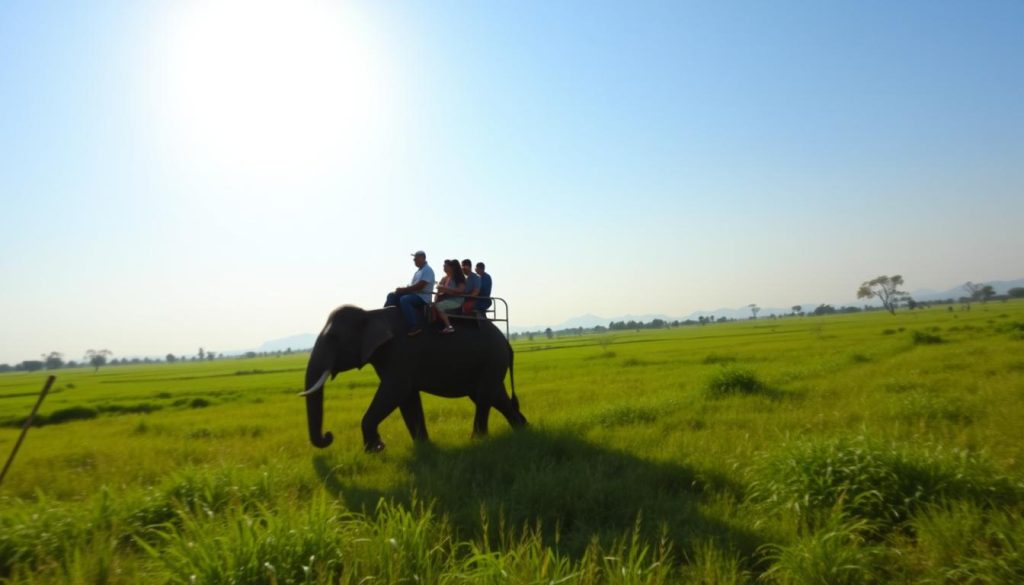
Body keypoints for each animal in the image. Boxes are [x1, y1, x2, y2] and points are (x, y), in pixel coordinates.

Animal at [299, 307, 528, 452]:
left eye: (334, 338)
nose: (328, 435)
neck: (370, 314)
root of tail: (507, 342)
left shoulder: (400, 354)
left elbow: (395, 391)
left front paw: (376, 449)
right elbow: (407, 398)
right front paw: (423, 447)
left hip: (492, 360)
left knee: (484, 396)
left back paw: (480, 439)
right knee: (493, 396)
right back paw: (521, 430)